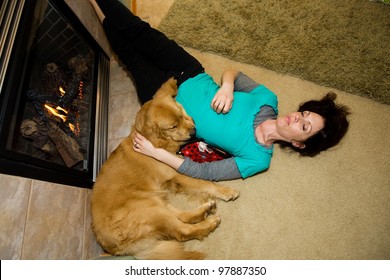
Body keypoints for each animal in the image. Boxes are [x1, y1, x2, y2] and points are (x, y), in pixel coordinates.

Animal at [91, 77, 239, 260]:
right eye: (172, 126)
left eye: (181, 113)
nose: (194, 131)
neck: (154, 141)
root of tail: (112, 247)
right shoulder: (177, 172)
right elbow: (205, 183)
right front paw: (227, 192)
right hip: (149, 209)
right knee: (182, 231)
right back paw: (210, 222)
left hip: (155, 201)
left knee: (182, 217)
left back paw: (205, 210)